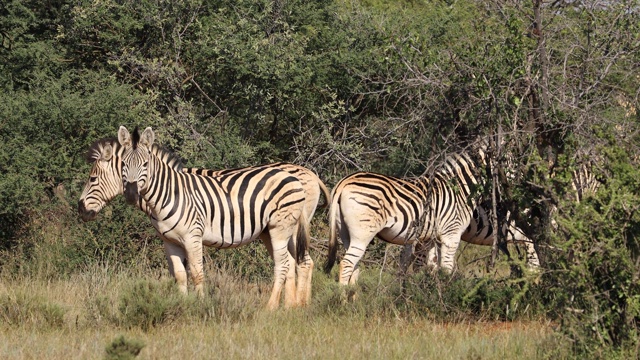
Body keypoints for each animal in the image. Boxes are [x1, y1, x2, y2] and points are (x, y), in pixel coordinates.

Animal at [322, 142, 488, 286]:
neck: (460, 188)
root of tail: (345, 181)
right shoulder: (451, 234)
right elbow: (446, 269)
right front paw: (446, 292)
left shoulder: (430, 238)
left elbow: (430, 268)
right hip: (362, 233)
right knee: (346, 263)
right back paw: (344, 300)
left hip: (344, 231)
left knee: (353, 265)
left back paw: (353, 297)